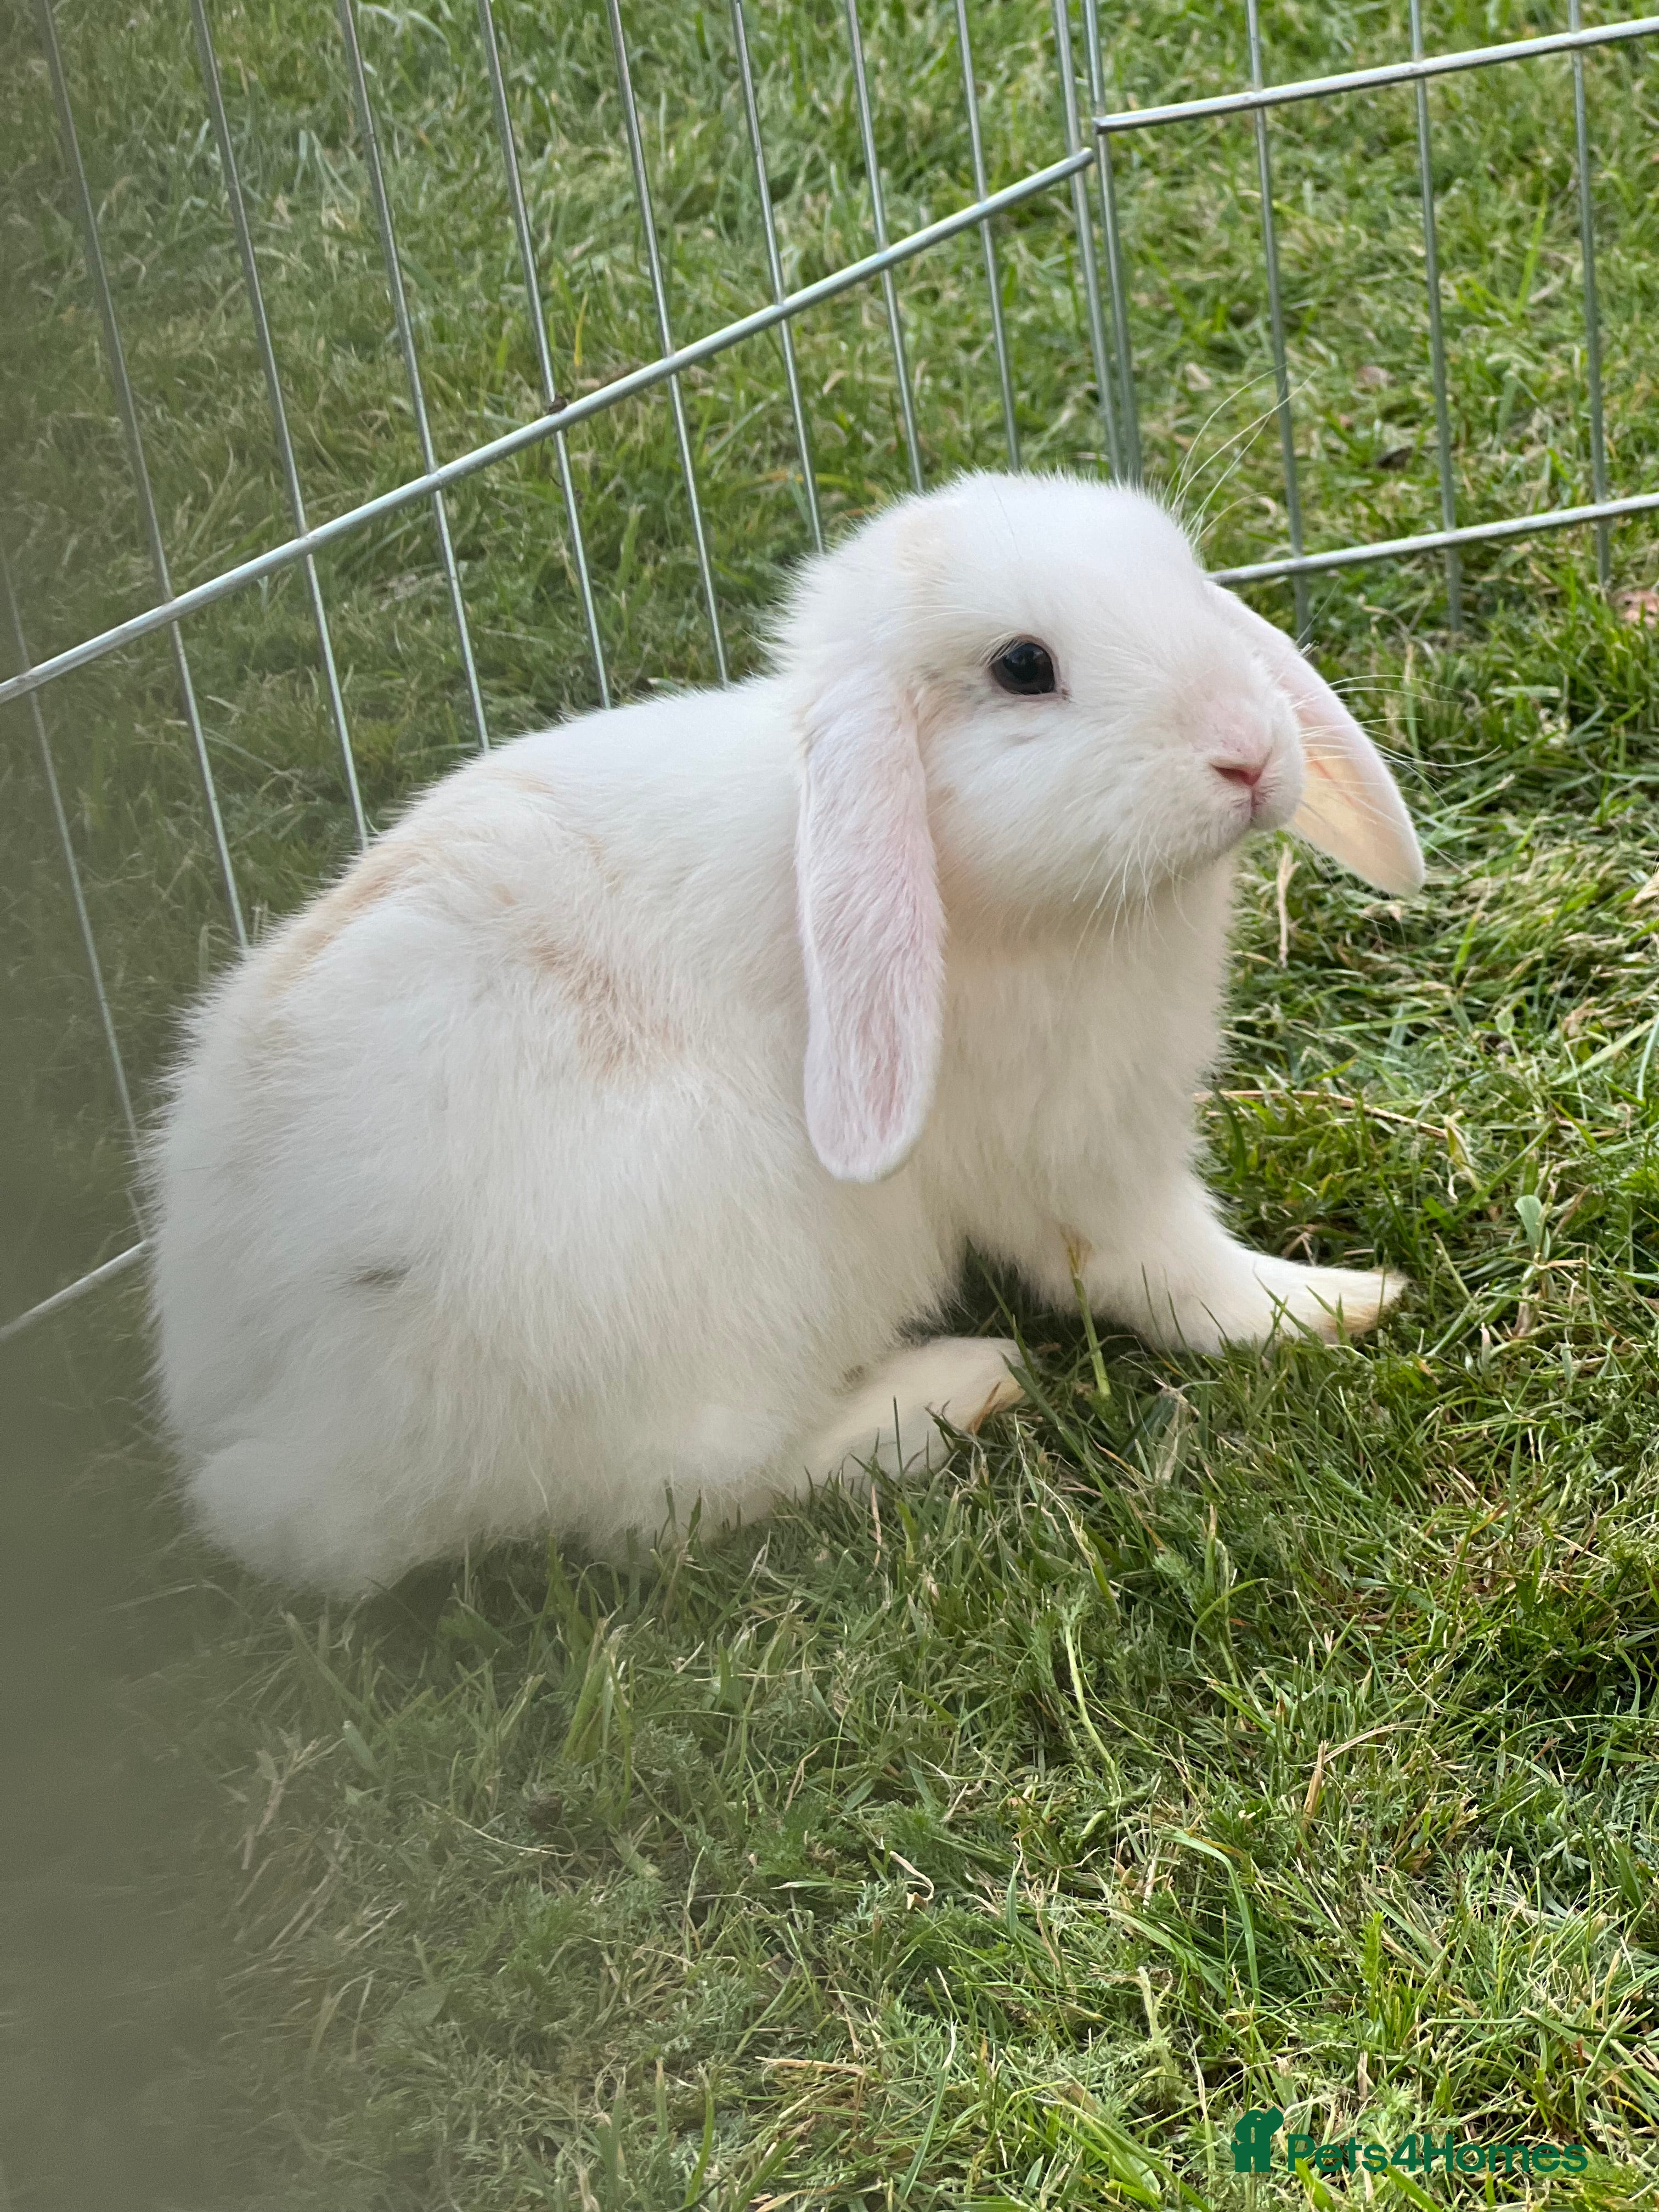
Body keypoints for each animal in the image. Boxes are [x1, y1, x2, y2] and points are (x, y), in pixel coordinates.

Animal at [150, 470, 1423, 1594]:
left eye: (1187, 583)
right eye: (1023, 667)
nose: (1251, 754)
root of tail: (285, 1451)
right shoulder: (1082, 1150)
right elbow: (1161, 1270)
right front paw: (1333, 1301)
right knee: (676, 1501)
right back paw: (949, 1390)